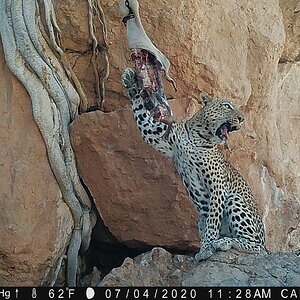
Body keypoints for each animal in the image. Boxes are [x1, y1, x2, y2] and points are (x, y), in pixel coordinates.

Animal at [121, 68, 264, 260]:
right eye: (227, 106)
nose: (242, 119)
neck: (198, 136)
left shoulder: (218, 186)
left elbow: (213, 219)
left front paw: (207, 247)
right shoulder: (158, 135)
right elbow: (142, 115)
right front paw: (130, 81)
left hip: (235, 201)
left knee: (256, 246)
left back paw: (224, 242)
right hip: (200, 218)